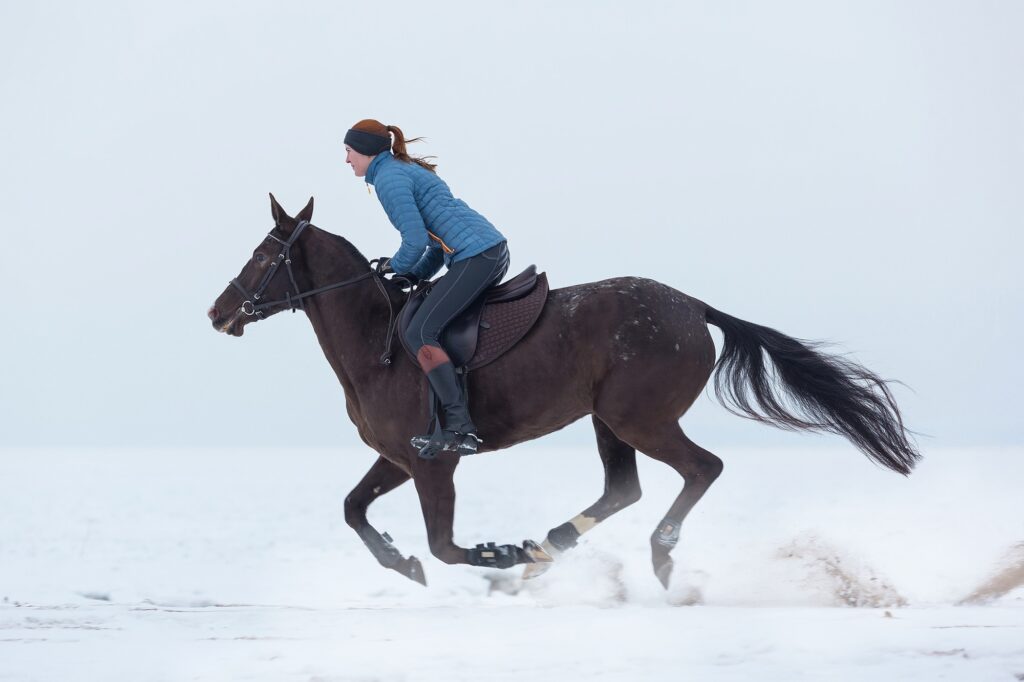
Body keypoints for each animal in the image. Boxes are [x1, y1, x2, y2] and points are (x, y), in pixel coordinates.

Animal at [205, 193, 921, 585]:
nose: (218, 312)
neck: (377, 343)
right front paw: (402, 563)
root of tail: (694, 307)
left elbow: (445, 545)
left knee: (701, 469)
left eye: (263, 257)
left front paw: (495, 552)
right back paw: (550, 546)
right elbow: (355, 511)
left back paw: (647, 557)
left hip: (639, 418)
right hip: (609, 420)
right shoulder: (397, 457)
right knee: (623, 489)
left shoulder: (434, 462)